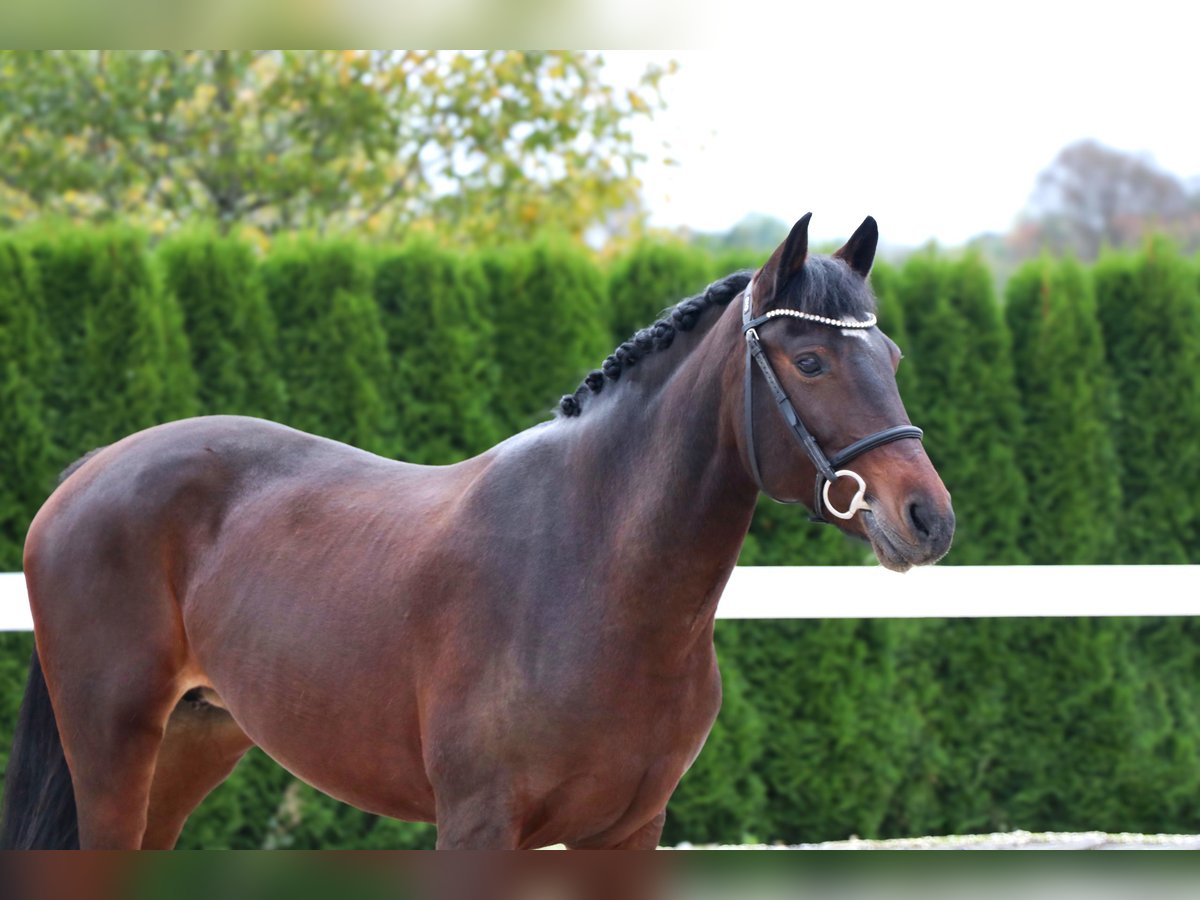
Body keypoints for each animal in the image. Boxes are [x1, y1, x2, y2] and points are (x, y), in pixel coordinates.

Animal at [2, 214, 955, 849]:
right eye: (810, 360)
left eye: (892, 358)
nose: (928, 518)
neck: (595, 571)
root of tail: (91, 469)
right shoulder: (478, 829)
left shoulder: (627, 834)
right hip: (112, 752)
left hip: (190, 744)